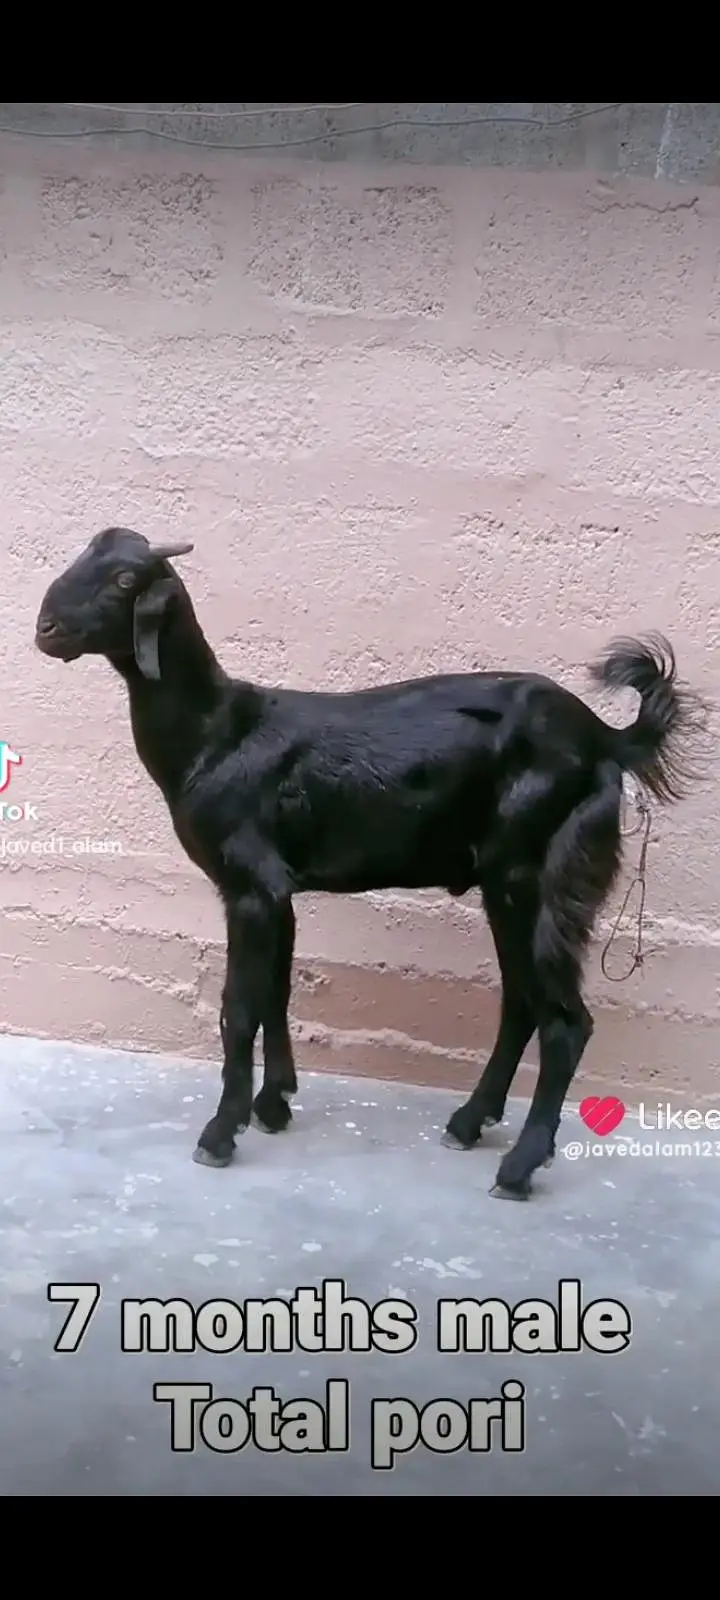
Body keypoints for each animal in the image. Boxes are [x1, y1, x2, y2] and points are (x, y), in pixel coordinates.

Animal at [35, 527, 711, 1199]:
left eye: (125, 579)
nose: (45, 627)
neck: (217, 734)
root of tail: (608, 739)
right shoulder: (279, 890)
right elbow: (277, 990)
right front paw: (274, 1104)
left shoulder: (251, 885)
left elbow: (240, 1007)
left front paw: (222, 1133)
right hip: (510, 883)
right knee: (522, 1001)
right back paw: (468, 1123)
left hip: (535, 874)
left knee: (565, 1020)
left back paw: (517, 1168)